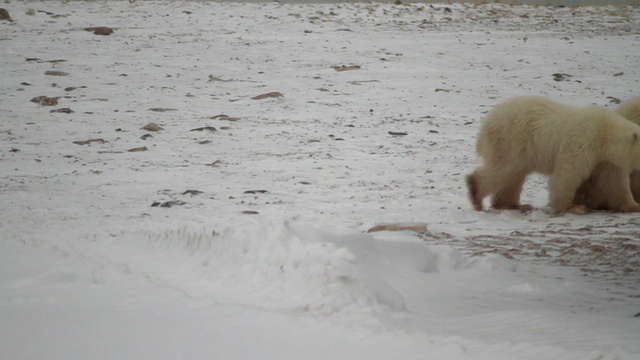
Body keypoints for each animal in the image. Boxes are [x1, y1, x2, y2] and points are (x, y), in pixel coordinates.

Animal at [462, 95, 640, 214]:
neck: (604, 132)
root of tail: (486, 123)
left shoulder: (606, 160)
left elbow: (615, 182)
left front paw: (634, 206)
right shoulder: (583, 141)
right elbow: (568, 173)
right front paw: (573, 207)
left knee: (513, 175)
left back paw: (514, 205)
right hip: (511, 140)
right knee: (504, 169)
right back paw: (475, 192)